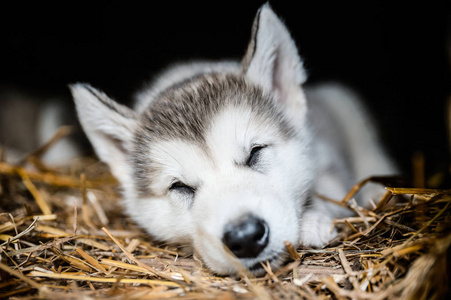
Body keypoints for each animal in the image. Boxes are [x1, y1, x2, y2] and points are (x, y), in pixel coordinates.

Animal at [69, 4, 396, 276]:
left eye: (254, 153)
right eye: (180, 187)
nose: (246, 237)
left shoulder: (324, 154)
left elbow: (333, 188)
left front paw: (314, 218)